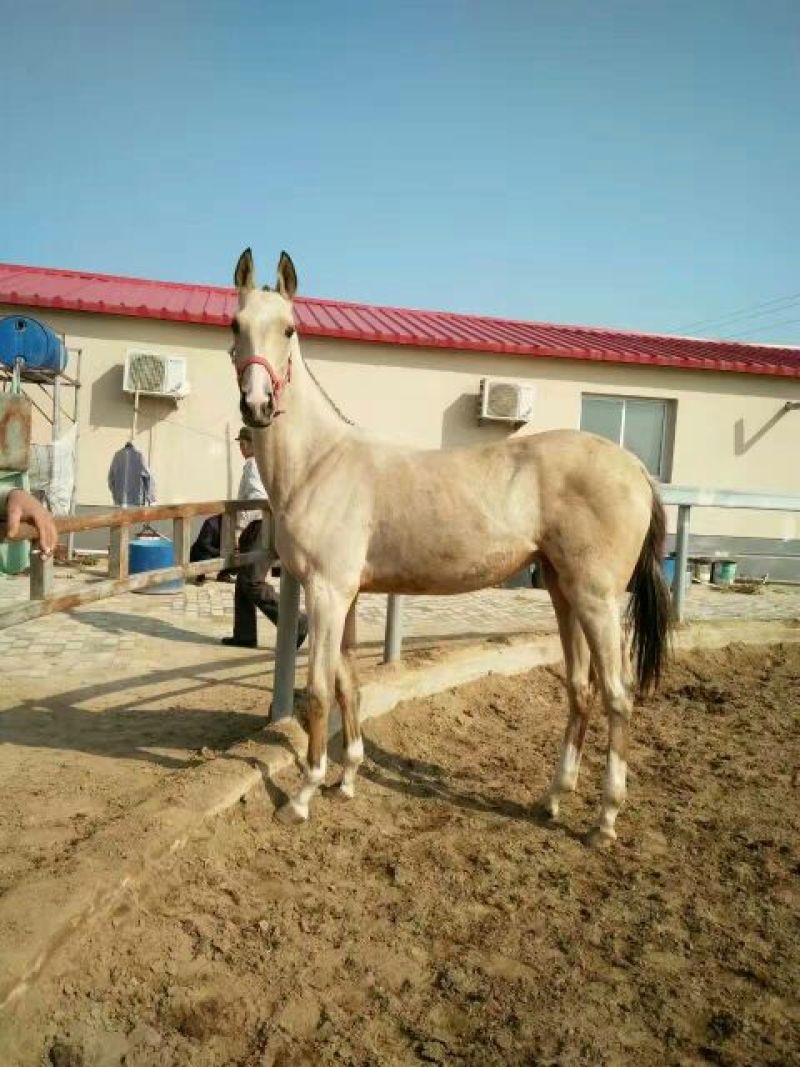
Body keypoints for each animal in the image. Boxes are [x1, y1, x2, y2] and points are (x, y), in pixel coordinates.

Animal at [230, 248, 671, 846]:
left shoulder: (326, 593)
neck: (321, 462)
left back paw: (604, 821)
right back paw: (553, 799)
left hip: (598, 600)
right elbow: (349, 684)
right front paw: (346, 780)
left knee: (617, 696)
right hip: (564, 592)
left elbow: (319, 691)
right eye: (236, 325)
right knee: (580, 689)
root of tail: (637, 471)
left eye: (289, 329)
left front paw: (302, 796)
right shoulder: (346, 596)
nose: (256, 406)